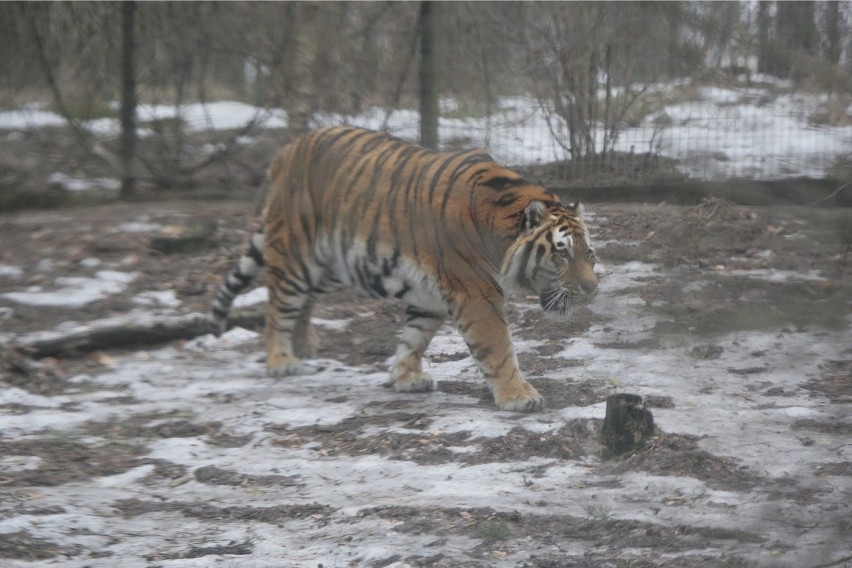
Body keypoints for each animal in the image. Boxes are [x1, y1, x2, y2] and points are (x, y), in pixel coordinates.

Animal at [211, 127, 600, 412]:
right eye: (562, 253)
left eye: (589, 253)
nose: (592, 288)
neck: (499, 231)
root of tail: (286, 151)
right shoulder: (477, 294)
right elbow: (500, 348)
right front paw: (519, 396)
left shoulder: (432, 295)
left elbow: (415, 338)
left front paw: (405, 377)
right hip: (295, 255)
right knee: (278, 305)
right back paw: (281, 359)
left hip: (333, 265)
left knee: (303, 300)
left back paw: (304, 344)